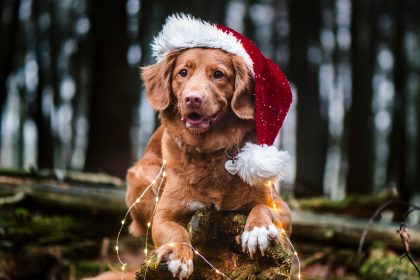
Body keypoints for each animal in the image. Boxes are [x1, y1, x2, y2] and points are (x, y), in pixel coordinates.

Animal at [126, 47, 292, 278]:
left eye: (218, 74)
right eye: (183, 72)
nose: (192, 98)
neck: (210, 152)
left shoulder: (281, 206)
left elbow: (262, 207)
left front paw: (257, 230)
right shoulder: (162, 215)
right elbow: (176, 230)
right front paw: (178, 254)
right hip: (144, 178)